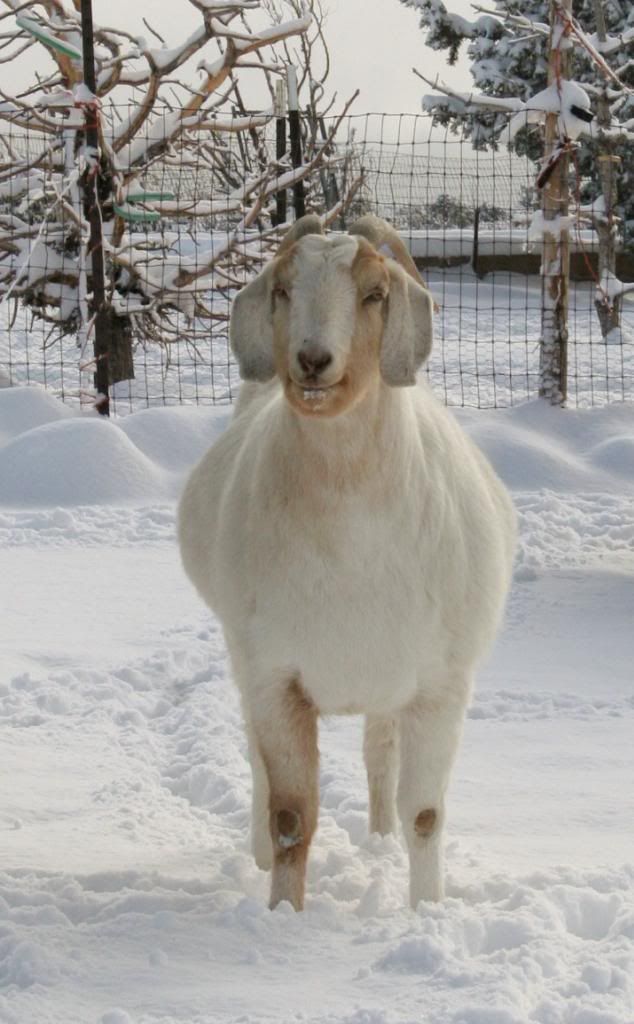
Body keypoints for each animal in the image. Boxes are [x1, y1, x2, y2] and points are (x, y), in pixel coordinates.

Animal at [178, 215, 516, 911]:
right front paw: (283, 912)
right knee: (258, 762)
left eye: (374, 295)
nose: (312, 361)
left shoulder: (440, 686)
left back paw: (380, 840)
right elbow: (291, 814)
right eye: (283, 289)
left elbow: (425, 816)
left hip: (390, 685)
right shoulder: (275, 675)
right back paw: (259, 856)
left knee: (378, 753)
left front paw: (426, 912)